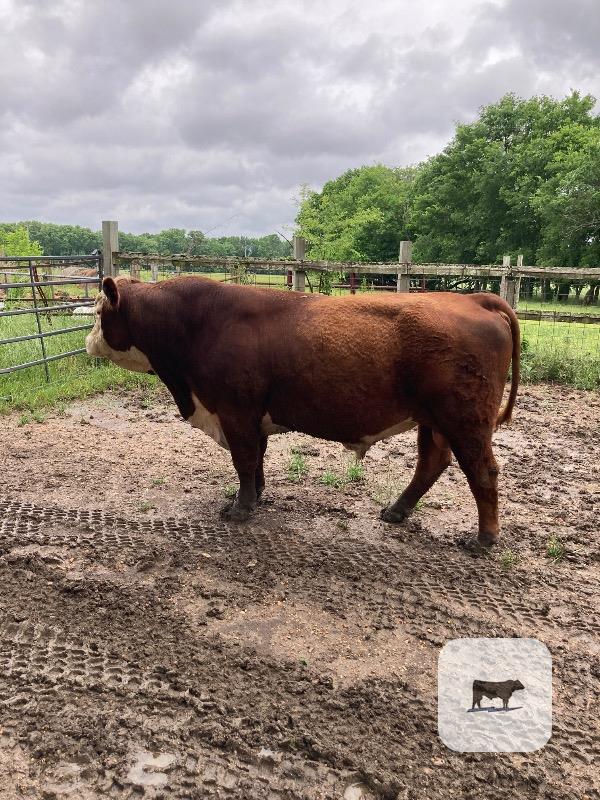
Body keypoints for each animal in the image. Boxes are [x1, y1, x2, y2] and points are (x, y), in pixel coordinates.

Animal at [86, 275, 520, 544]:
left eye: (98, 311)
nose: (89, 342)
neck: (196, 324)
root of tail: (473, 299)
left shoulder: (235, 411)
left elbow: (244, 459)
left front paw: (240, 509)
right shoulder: (250, 417)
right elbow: (255, 460)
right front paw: (256, 496)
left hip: (466, 421)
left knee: (481, 471)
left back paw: (483, 539)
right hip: (433, 420)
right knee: (432, 463)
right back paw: (396, 512)